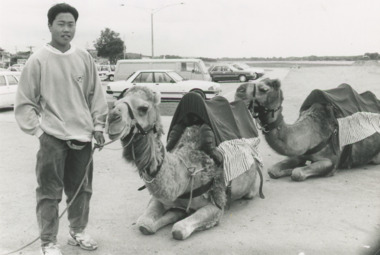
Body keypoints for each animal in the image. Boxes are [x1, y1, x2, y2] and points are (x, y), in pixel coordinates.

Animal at [105, 86, 262, 240]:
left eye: (143, 108)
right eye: (115, 104)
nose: (112, 118)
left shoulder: (216, 206)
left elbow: (179, 230)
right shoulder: (160, 199)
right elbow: (144, 224)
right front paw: (176, 213)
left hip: (252, 186)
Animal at [235, 78, 380, 180]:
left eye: (263, 89)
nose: (239, 90)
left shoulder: (331, 162)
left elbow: (297, 173)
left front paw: (295, 170)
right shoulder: (299, 154)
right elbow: (273, 170)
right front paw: (291, 169)